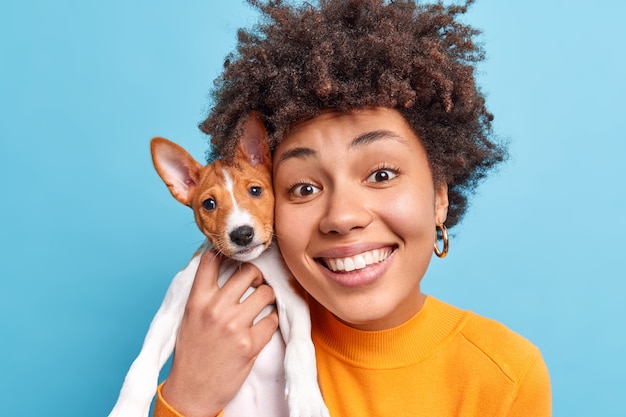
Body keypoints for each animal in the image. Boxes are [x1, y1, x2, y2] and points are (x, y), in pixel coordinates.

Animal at [108, 113, 326, 416]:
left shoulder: (291, 298)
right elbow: (140, 367)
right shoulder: (169, 312)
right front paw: (126, 409)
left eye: (255, 190)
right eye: (209, 204)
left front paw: (307, 402)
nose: (242, 234)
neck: (236, 265)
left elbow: (300, 350)